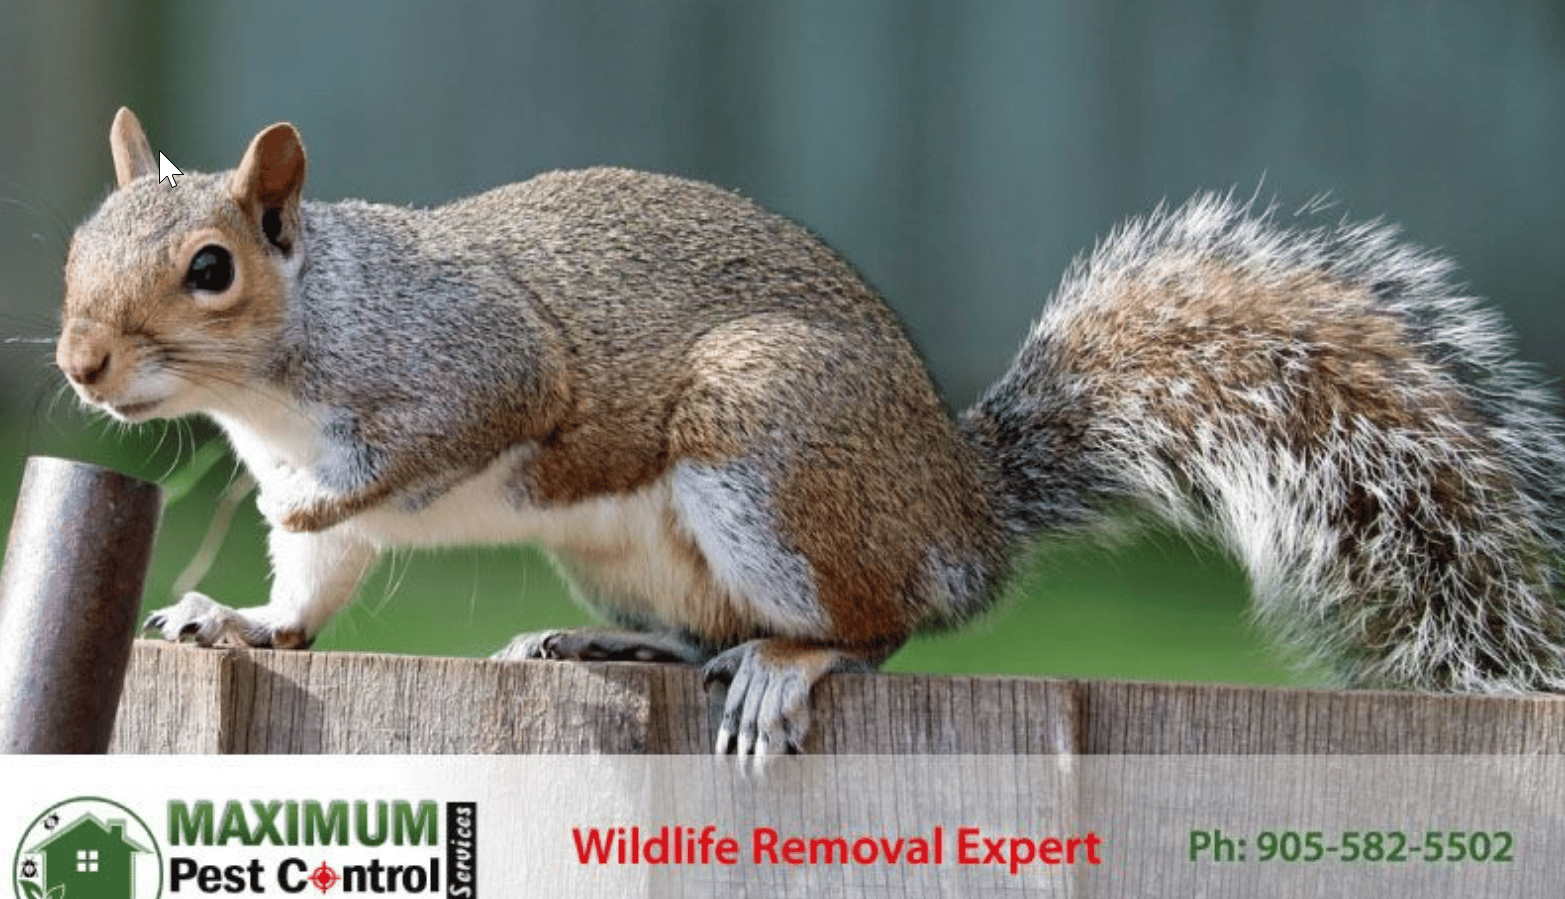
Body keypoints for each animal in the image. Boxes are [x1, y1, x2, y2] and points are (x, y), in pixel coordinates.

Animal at [57, 108, 1565, 756]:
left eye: (209, 269)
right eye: (78, 242)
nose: (79, 363)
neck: (276, 380)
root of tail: (960, 510)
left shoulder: (482, 367)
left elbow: (457, 442)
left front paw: (320, 511)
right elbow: (308, 595)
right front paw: (236, 614)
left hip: (768, 450)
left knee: (873, 625)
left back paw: (792, 664)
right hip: (648, 549)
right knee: (702, 633)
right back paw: (615, 646)